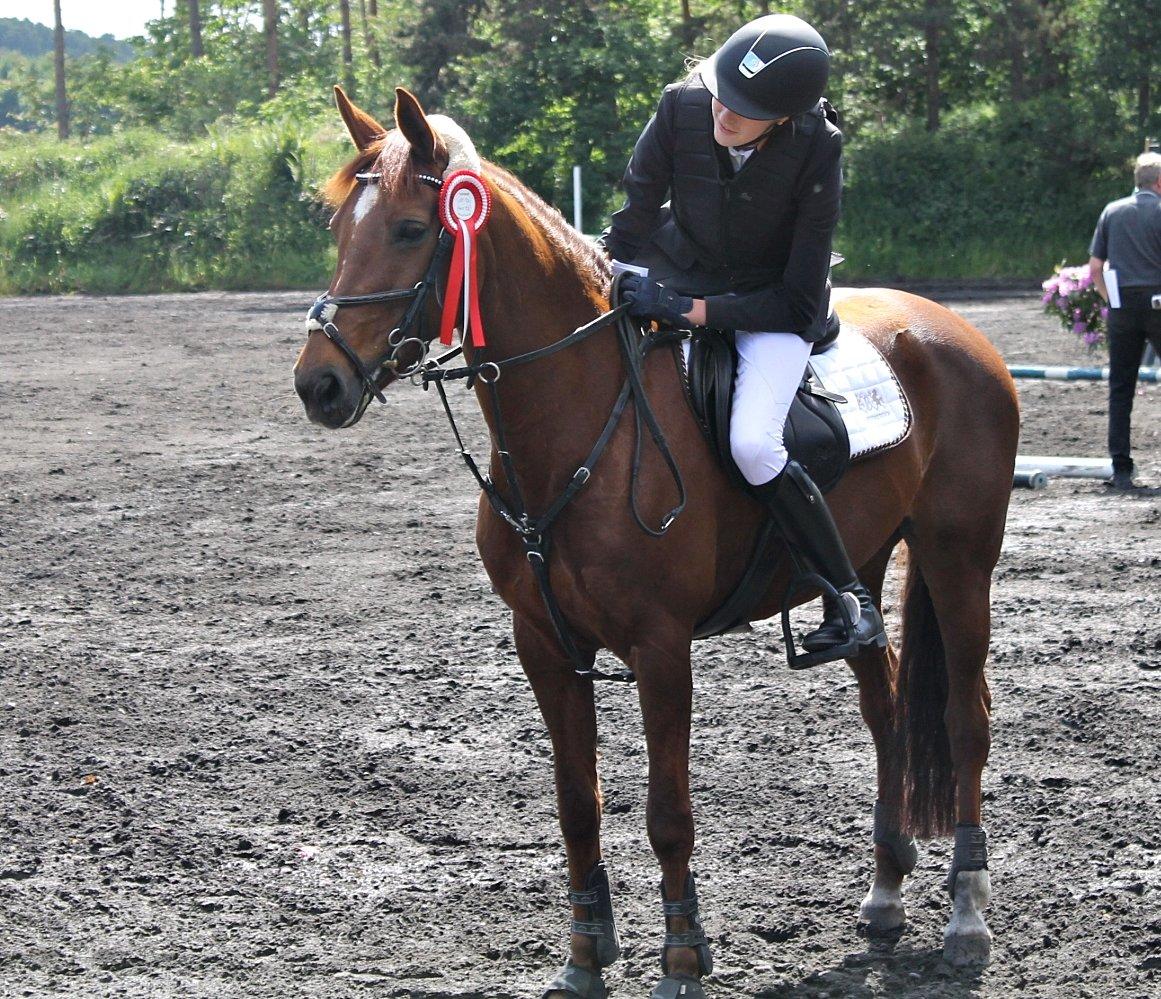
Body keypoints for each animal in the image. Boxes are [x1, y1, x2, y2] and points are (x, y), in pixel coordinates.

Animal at [293, 86, 1019, 998]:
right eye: (338, 232)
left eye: (409, 230)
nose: (318, 385)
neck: (578, 421)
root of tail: (951, 328)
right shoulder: (544, 645)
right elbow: (577, 803)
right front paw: (583, 954)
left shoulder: (660, 645)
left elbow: (668, 813)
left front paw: (681, 956)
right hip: (860, 562)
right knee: (884, 704)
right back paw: (885, 891)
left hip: (959, 560)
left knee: (963, 719)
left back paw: (968, 915)